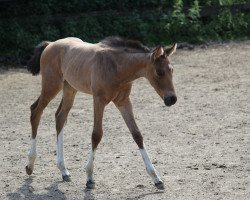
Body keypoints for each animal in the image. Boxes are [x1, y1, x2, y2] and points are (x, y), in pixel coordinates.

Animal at [25, 36, 178, 189]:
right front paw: (89, 177)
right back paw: (30, 165)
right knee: (36, 111)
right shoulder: (99, 100)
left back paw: (63, 170)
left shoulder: (123, 101)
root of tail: (50, 44)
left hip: (69, 88)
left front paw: (156, 178)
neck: (117, 67)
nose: (172, 99)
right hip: (51, 85)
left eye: (171, 70)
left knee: (60, 117)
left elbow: (137, 134)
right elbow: (96, 135)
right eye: (159, 72)